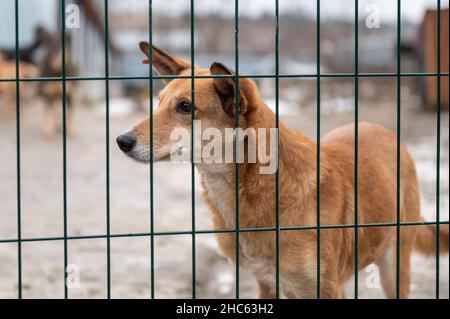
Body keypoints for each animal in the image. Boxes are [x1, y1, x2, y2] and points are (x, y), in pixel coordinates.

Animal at [118, 41, 448, 298]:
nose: (121, 141)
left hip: (395, 266)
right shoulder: (268, 284)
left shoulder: (326, 288)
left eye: (185, 107)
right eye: (158, 102)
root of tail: (381, 129)